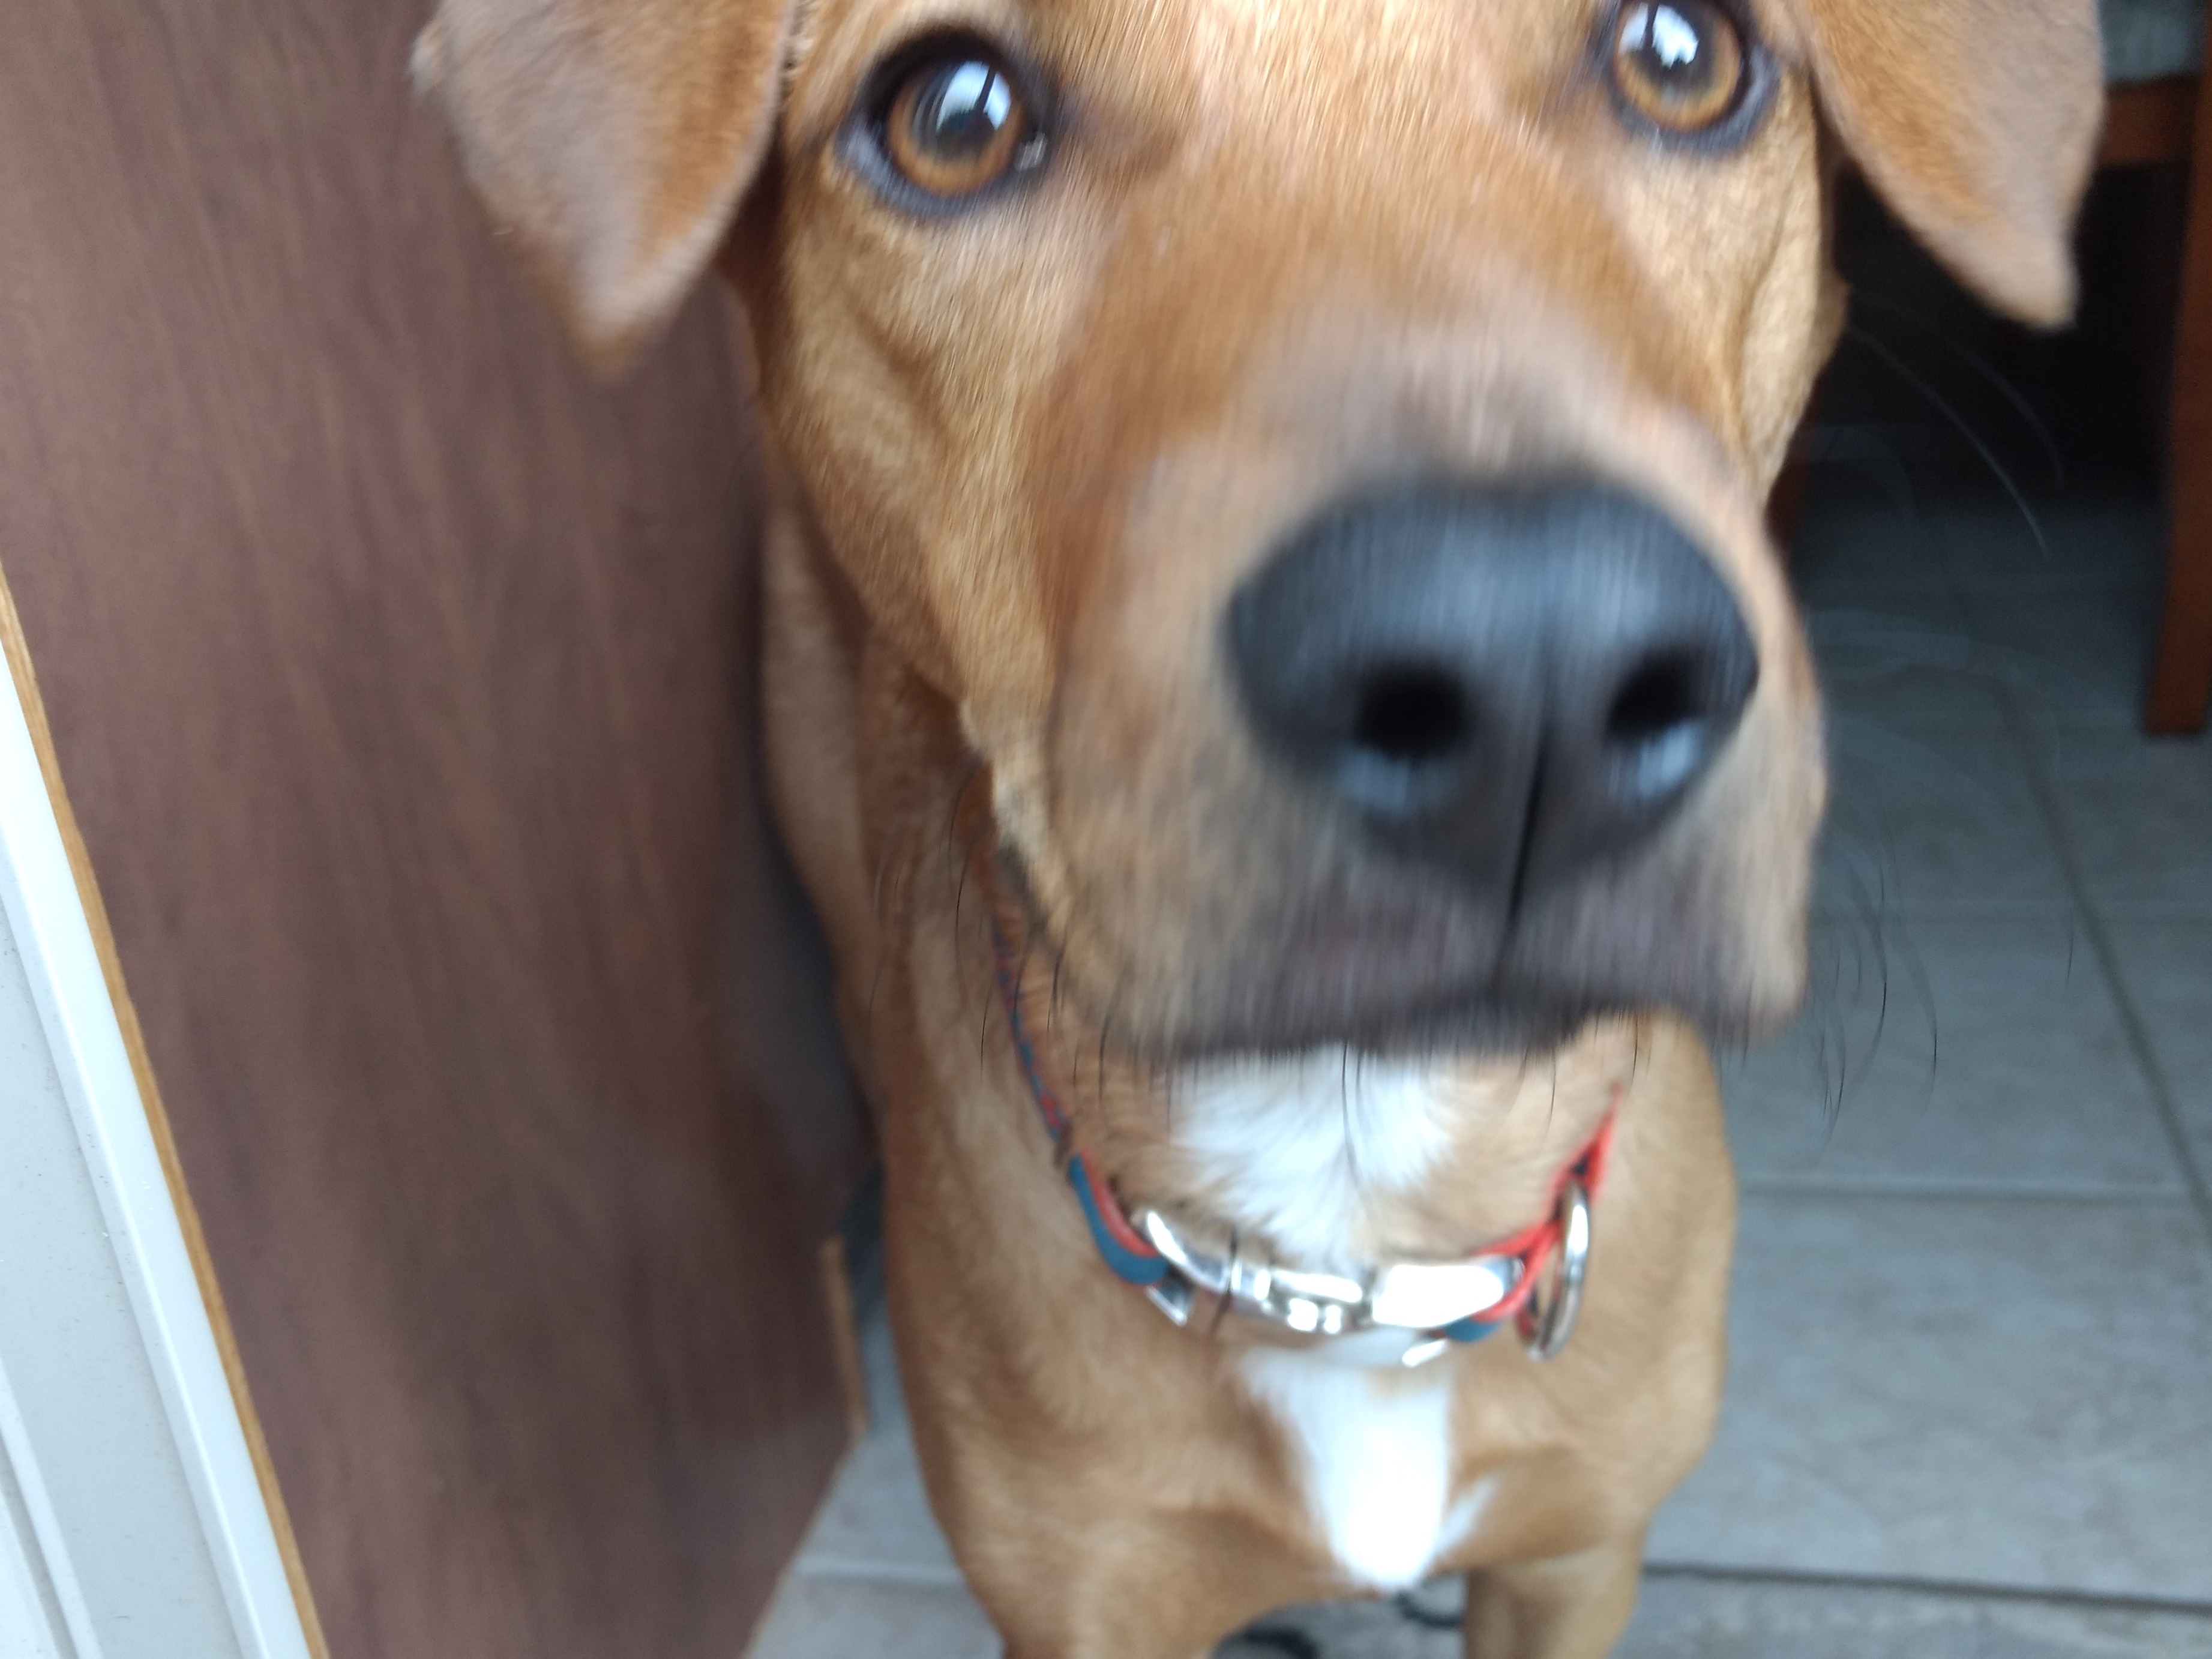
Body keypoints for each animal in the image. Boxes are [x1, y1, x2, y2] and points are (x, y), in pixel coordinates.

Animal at [415, 1, 2099, 1653]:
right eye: (950, 115)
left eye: (1681, 57)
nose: (1529, 663)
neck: (1351, 1232)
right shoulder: (1090, 1607)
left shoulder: (1578, 1553)